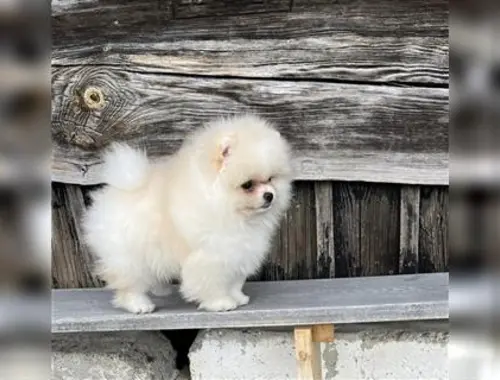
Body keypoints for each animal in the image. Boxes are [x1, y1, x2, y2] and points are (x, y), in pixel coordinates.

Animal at [82, 113, 292, 314]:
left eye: (270, 179)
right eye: (247, 185)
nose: (269, 195)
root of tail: (120, 189)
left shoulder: (237, 253)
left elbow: (234, 282)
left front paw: (237, 298)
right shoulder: (211, 255)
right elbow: (212, 283)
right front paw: (221, 303)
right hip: (130, 256)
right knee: (130, 284)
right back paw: (139, 305)